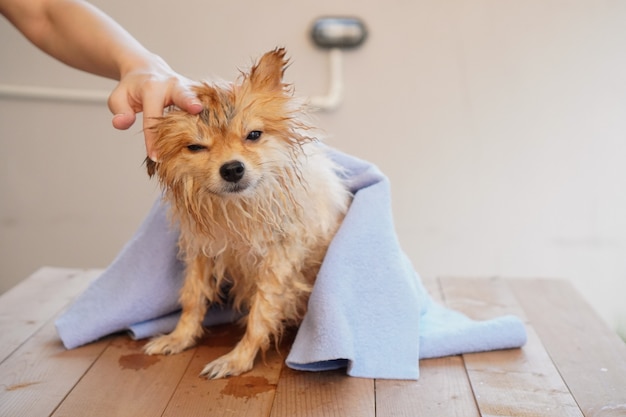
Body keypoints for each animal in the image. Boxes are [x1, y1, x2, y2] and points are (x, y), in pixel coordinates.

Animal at [143, 48, 354, 376]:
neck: (241, 209)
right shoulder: (201, 249)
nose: (232, 168)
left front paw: (238, 359)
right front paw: (178, 338)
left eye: (253, 134)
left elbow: (260, 313)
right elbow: (193, 297)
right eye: (196, 147)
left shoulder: (279, 259)